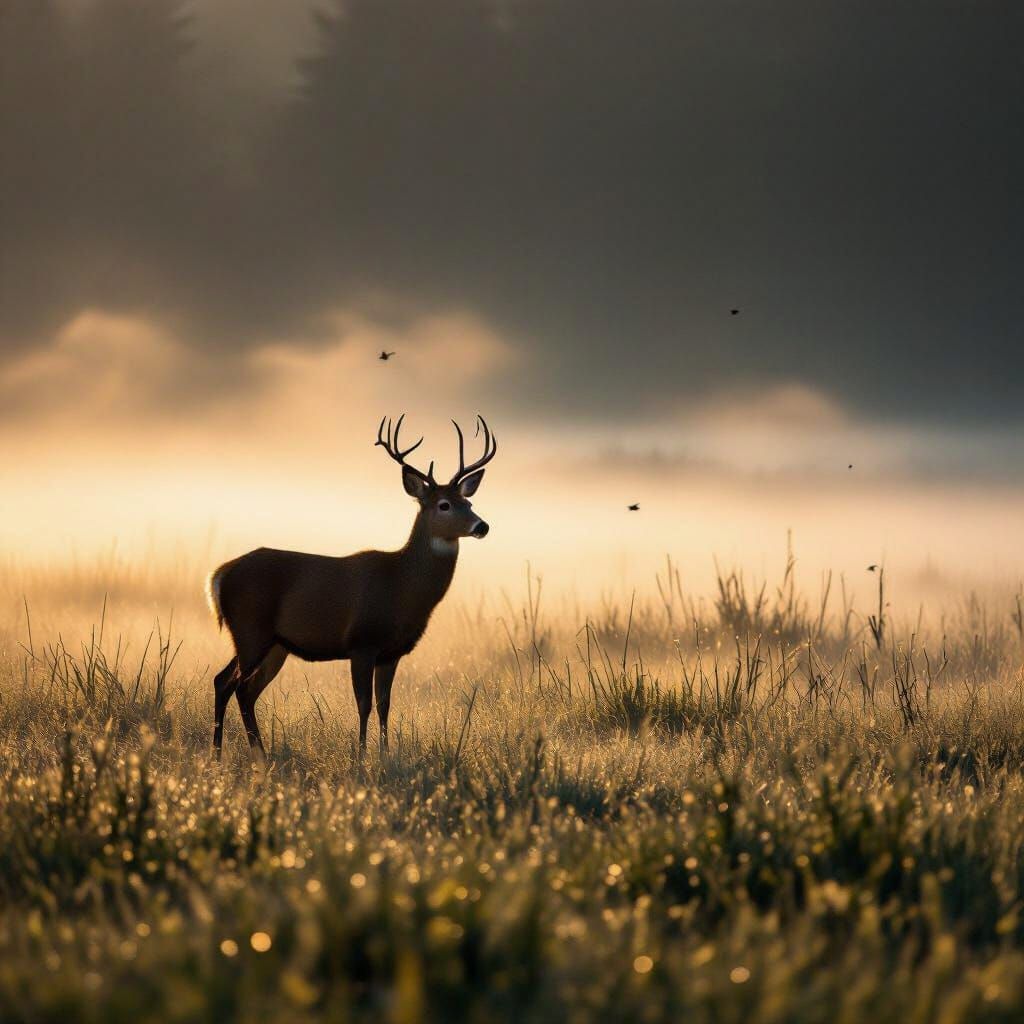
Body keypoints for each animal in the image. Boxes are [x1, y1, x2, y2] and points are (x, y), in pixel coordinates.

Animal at [206, 414, 497, 760]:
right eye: (443, 505)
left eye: (468, 500)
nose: (482, 526)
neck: (401, 586)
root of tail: (219, 575)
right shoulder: (362, 643)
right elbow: (364, 704)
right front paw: (360, 757)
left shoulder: (391, 652)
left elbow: (385, 705)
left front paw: (385, 755)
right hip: (251, 630)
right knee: (231, 684)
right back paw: (232, 754)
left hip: (274, 644)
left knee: (237, 686)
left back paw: (245, 755)